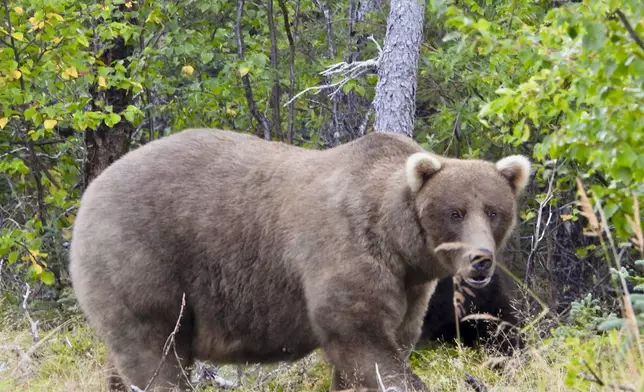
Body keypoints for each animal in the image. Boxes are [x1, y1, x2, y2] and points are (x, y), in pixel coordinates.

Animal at [68, 127, 532, 390]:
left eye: (494, 211)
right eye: (455, 212)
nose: (480, 260)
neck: (399, 244)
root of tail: (92, 190)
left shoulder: (411, 288)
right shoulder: (346, 256)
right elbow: (365, 344)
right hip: (145, 264)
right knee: (156, 357)